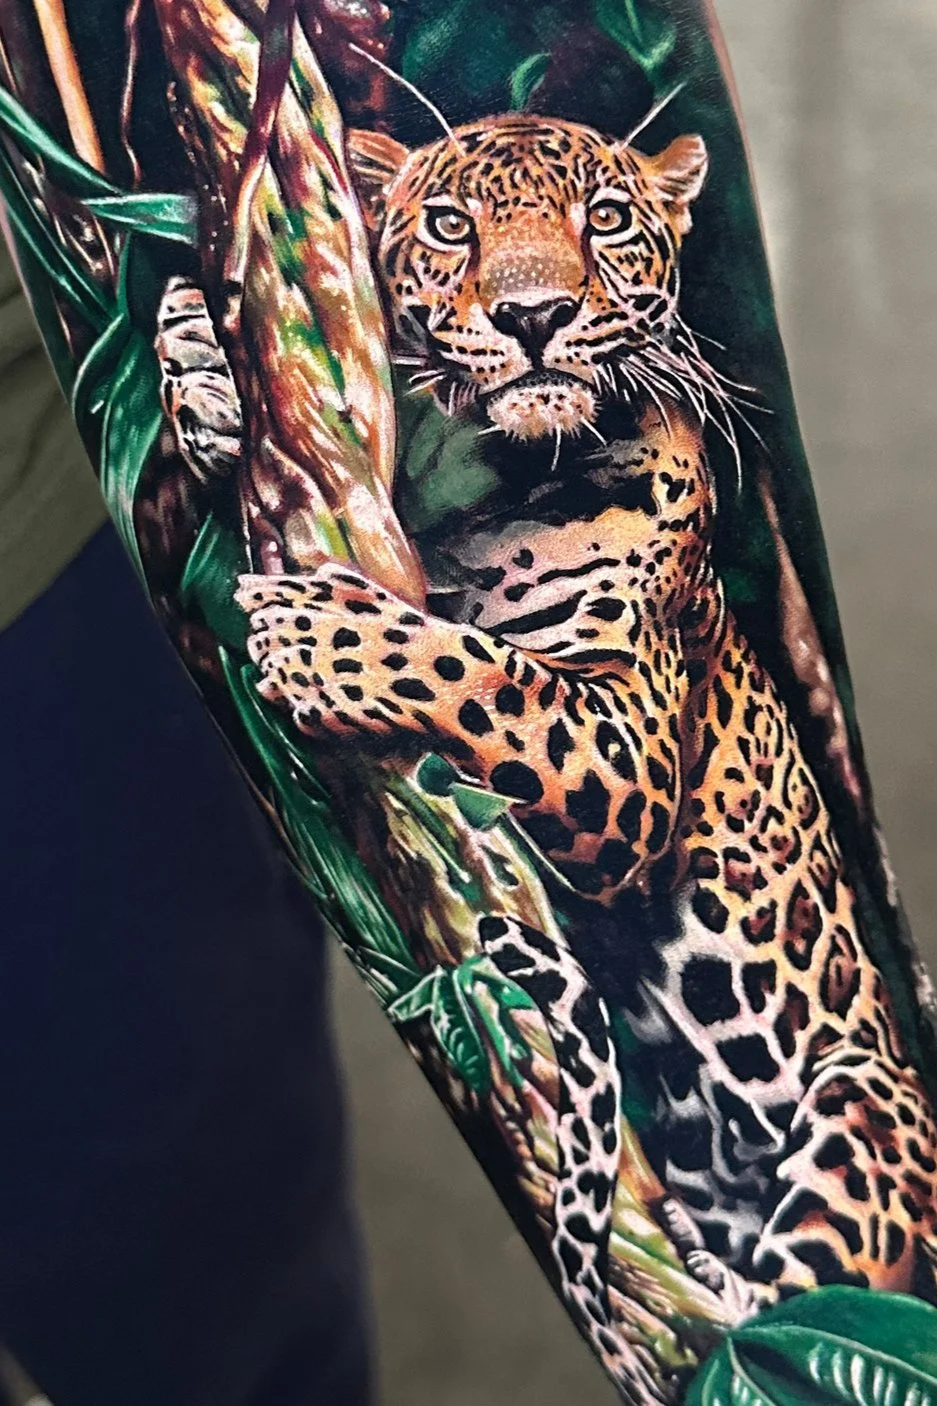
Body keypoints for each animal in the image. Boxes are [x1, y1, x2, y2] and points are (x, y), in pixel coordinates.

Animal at [158, 111, 937, 1395]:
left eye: (605, 219)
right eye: (448, 224)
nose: (534, 317)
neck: (499, 478)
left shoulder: (619, 750)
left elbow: (480, 670)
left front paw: (320, 635)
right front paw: (191, 347)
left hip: (863, 1104)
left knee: (791, 1300)